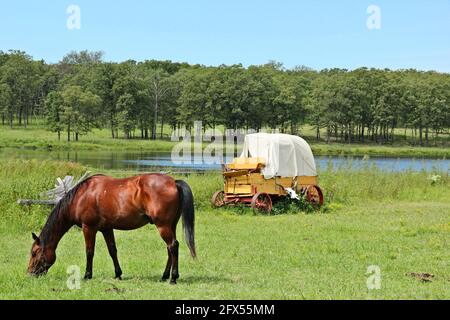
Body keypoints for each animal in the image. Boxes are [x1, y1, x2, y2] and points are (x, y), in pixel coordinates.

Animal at [27, 174, 195, 284]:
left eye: (34, 253)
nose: (30, 273)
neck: (82, 196)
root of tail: (174, 182)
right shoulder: (106, 229)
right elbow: (112, 250)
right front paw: (118, 274)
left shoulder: (89, 228)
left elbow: (89, 252)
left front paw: (87, 275)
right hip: (171, 225)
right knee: (170, 249)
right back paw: (165, 276)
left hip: (163, 226)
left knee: (173, 246)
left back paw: (173, 278)